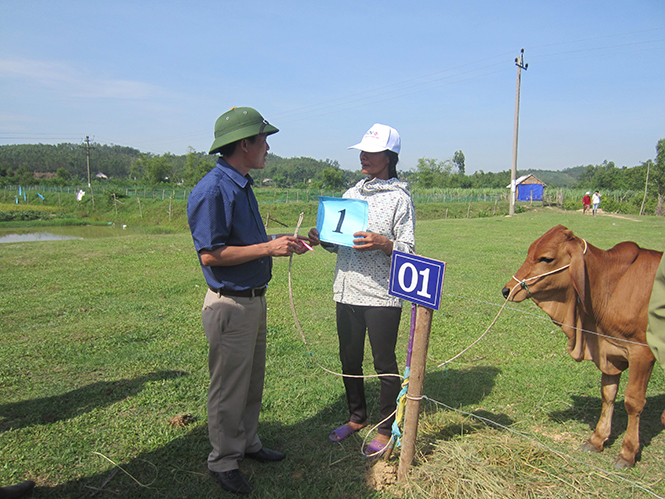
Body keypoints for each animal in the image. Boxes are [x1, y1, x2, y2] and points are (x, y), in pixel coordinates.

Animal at [500, 227, 660, 468]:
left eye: (546, 258)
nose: (507, 290)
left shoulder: (642, 353)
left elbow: (633, 401)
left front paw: (628, 453)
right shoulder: (609, 352)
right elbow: (608, 394)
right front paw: (597, 439)